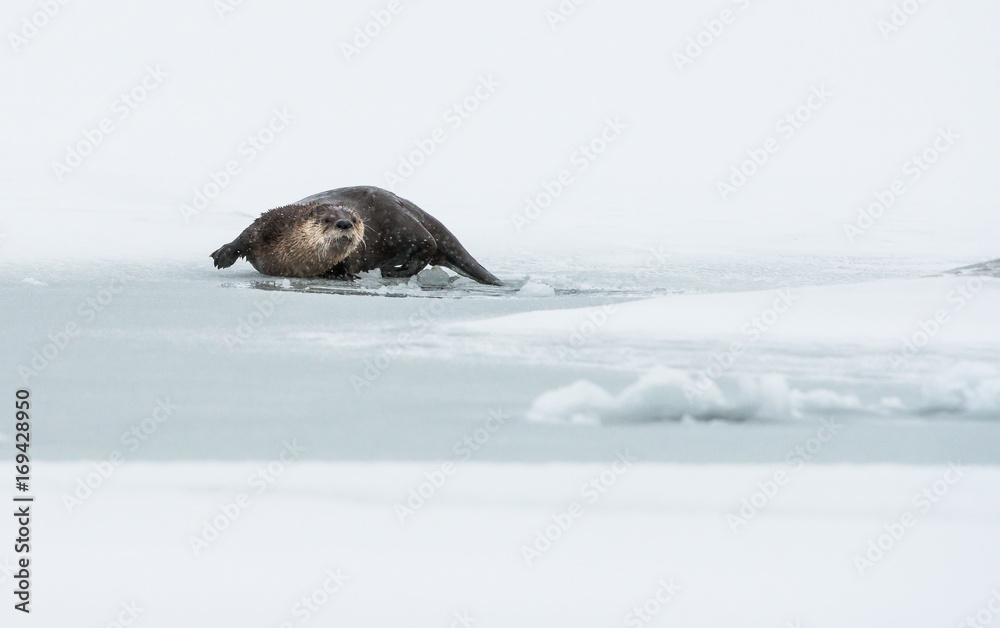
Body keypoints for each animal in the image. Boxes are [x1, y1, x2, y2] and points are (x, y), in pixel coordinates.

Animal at [211, 186, 502, 286]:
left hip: (405, 227)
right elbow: (247, 234)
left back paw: (392, 271)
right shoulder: (274, 220)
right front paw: (223, 255)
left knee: (427, 246)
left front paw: (343, 275)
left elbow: (347, 263)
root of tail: (405, 202)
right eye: (327, 220)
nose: (343, 223)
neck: (294, 258)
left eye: (356, 220)